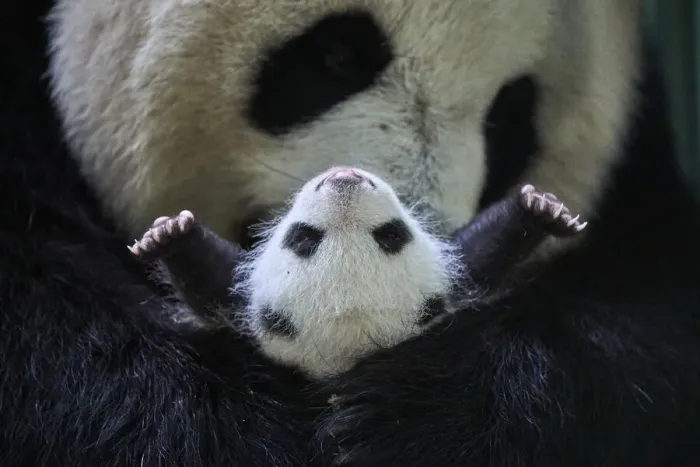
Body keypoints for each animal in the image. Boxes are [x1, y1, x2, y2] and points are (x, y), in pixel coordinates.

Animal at [127, 167, 586, 378]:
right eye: (303, 238)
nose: (344, 178)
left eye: (391, 235)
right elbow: (214, 289)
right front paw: (170, 234)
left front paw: (539, 210)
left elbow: (481, 259)